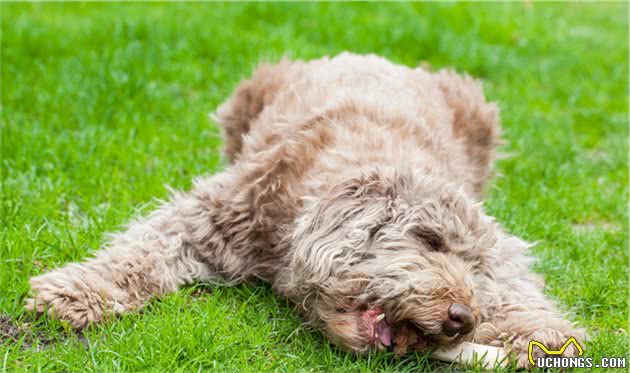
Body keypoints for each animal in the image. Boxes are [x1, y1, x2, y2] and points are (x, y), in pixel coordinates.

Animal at [25, 53, 588, 370]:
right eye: (431, 241)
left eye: (478, 273)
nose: (462, 318)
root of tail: (376, 56)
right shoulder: (216, 211)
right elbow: (141, 250)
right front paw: (75, 293)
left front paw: (543, 336)